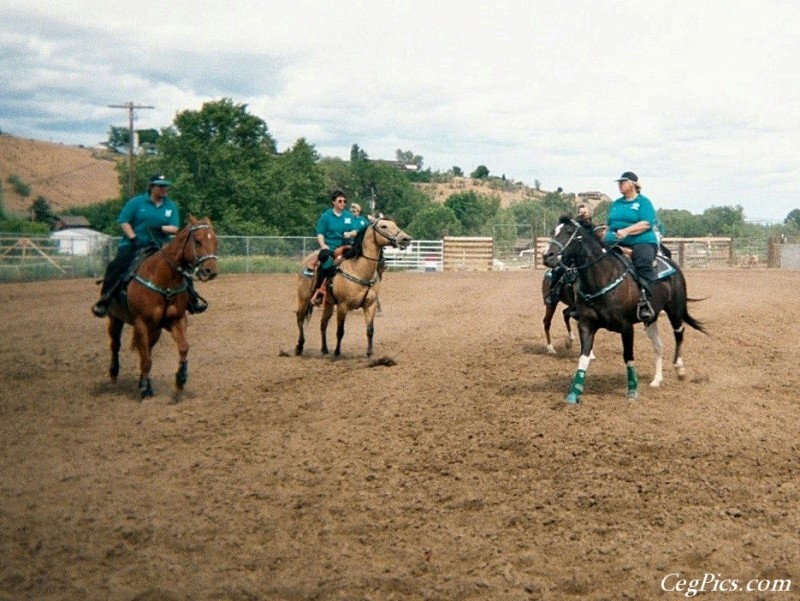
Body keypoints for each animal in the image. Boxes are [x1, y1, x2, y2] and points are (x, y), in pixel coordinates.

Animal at [105, 216, 222, 398]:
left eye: (215, 241)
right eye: (197, 241)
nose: (210, 271)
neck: (164, 279)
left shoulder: (176, 320)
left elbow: (183, 347)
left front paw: (180, 380)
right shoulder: (141, 323)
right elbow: (146, 358)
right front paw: (144, 388)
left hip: (155, 329)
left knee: (146, 350)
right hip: (115, 319)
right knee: (116, 345)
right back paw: (114, 376)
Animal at [298, 216, 412, 356]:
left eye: (395, 224)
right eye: (383, 226)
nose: (406, 239)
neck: (359, 270)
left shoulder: (370, 305)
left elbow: (370, 330)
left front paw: (369, 353)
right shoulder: (342, 306)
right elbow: (340, 331)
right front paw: (337, 353)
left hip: (328, 304)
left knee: (323, 323)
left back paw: (324, 349)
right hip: (304, 299)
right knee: (300, 318)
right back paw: (299, 347)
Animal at [540, 216, 704, 404]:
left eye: (568, 232)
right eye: (553, 231)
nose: (546, 255)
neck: (602, 277)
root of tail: (673, 265)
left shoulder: (626, 327)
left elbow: (628, 357)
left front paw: (632, 390)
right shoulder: (586, 325)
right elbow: (584, 357)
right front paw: (574, 392)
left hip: (674, 310)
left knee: (679, 334)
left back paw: (680, 369)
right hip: (650, 318)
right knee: (658, 346)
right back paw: (656, 380)